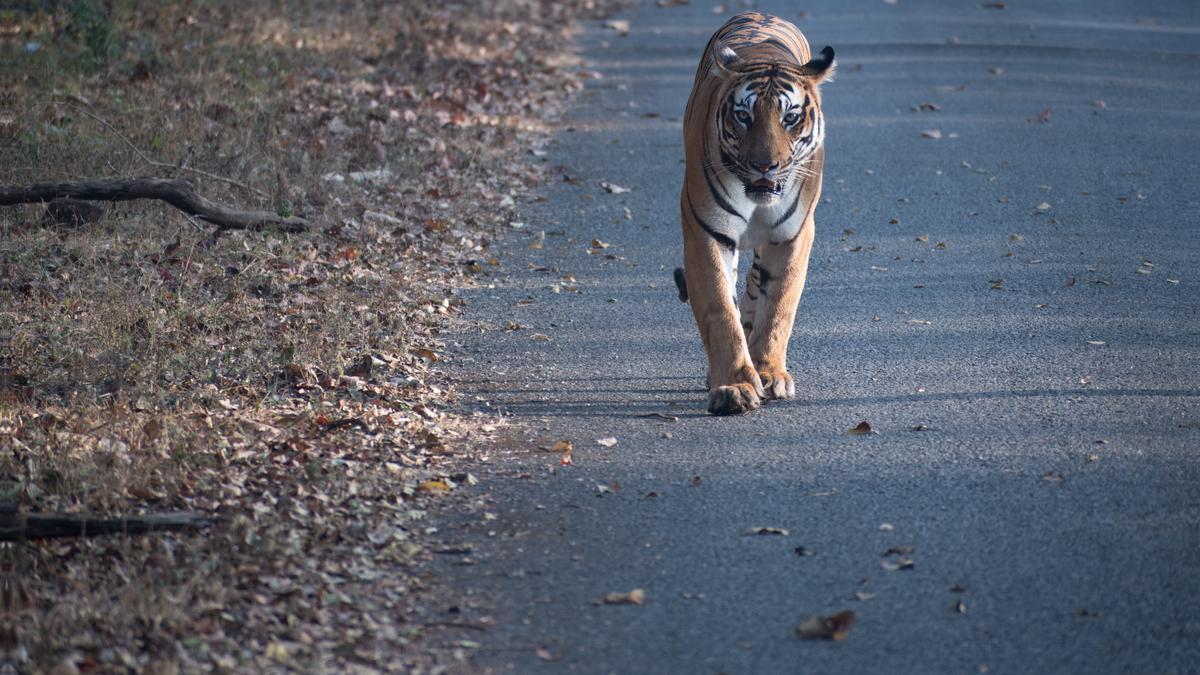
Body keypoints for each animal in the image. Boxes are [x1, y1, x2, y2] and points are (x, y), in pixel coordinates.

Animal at [674, 11, 835, 415]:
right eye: (743, 116)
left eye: (790, 118)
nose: (765, 165)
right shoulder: (706, 233)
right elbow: (719, 310)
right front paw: (733, 386)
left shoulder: (793, 236)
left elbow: (779, 305)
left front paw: (769, 373)